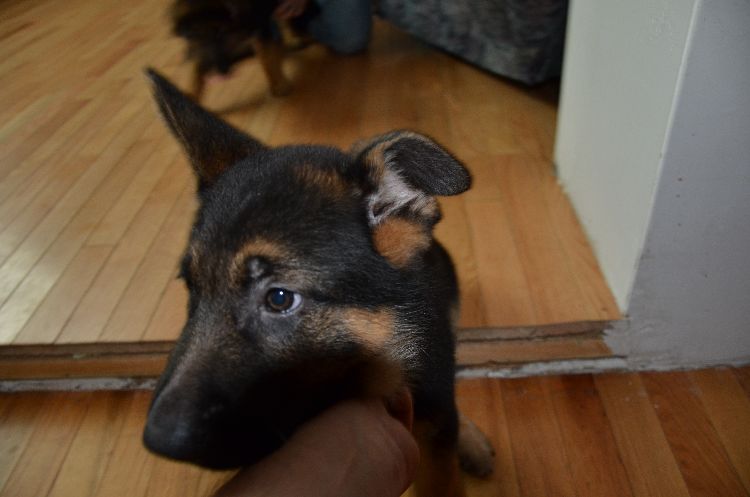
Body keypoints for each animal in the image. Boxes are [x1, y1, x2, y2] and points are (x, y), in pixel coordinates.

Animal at [172, 0, 312, 99]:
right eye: (199, 40)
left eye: (222, 35)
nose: (221, 73)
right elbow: (195, 66)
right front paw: (190, 94)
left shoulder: (259, 27)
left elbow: (267, 59)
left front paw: (279, 85)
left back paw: (291, 38)